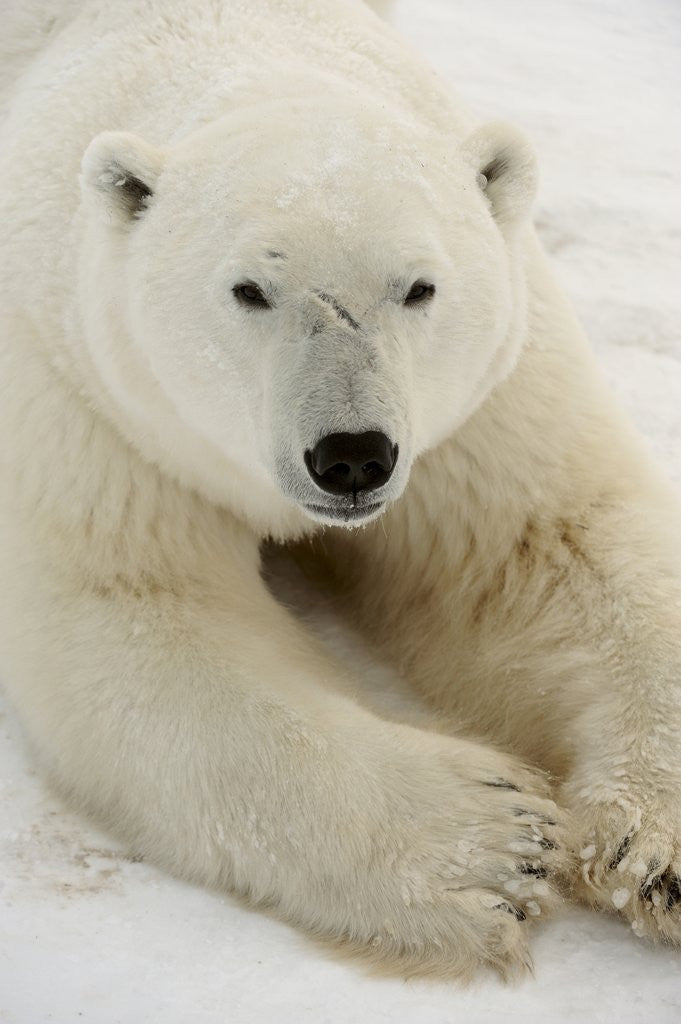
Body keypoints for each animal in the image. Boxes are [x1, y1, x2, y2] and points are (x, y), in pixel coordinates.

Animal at [1, 0, 680, 979]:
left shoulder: (479, 400)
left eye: (419, 286)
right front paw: (490, 845)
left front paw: (649, 848)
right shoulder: (95, 392)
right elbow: (137, 613)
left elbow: (543, 542)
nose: (353, 455)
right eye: (249, 289)